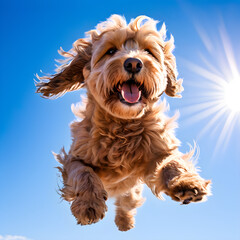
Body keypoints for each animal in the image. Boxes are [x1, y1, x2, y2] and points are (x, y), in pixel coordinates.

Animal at [35, 14, 210, 231]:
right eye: (110, 51)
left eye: (148, 51)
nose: (133, 63)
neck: (123, 124)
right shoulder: (73, 158)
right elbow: (84, 173)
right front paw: (88, 204)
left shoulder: (158, 150)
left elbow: (172, 162)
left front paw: (185, 183)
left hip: (130, 193)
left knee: (127, 203)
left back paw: (125, 222)